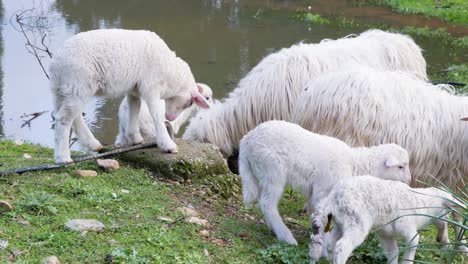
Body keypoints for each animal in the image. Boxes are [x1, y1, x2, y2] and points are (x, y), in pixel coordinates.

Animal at [49, 29, 208, 164]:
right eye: (190, 103)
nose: (170, 118)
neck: (170, 72)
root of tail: (56, 64)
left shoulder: (135, 88)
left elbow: (135, 107)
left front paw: (135, 138)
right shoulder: (151, 87)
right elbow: (156, 114)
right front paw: (168, 145)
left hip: (64, 90)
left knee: (73, 116)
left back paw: (93, 144)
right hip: (77, 84)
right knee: (64, 119)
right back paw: (63, 158)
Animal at [239, 121, 412, 245]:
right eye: (400, 166)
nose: (410, 181)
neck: (354, 164)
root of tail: (247, 139)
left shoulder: (315, 191)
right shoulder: (324, 189)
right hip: (273, 170)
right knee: (267, 203)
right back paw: (286, 236)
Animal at [308, 175, 462, 264]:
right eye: (448, 212)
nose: (441, 237)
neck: (422, 203)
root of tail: (333, 197)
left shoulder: (385, 234)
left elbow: (393, 252)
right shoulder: (407, 227)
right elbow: (412, 247)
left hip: (340, 223)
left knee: (328, 243)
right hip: (356, 221)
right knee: (341, 246)